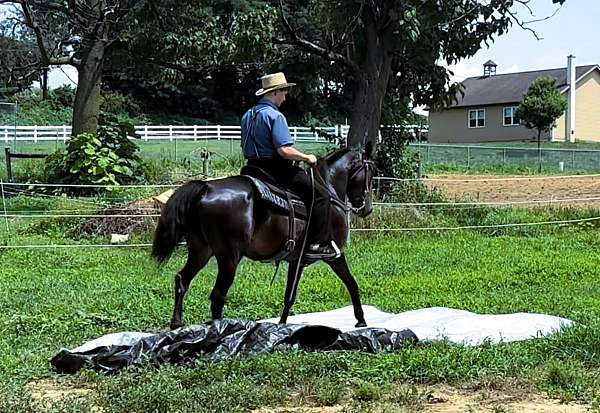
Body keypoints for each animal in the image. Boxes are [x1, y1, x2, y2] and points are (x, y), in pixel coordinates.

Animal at [151, 143, 376, 330]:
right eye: (371, 173)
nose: (367, 208)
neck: (329, 188)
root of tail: (207, 187)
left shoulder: (296, 260)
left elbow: (289, 296)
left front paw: (283, 327)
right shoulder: (335, 255)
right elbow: (352, 283)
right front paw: (361, 319)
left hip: (201, 251)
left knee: (182, 279)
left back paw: (177, 323)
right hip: (229, 257)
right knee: (218, 295)